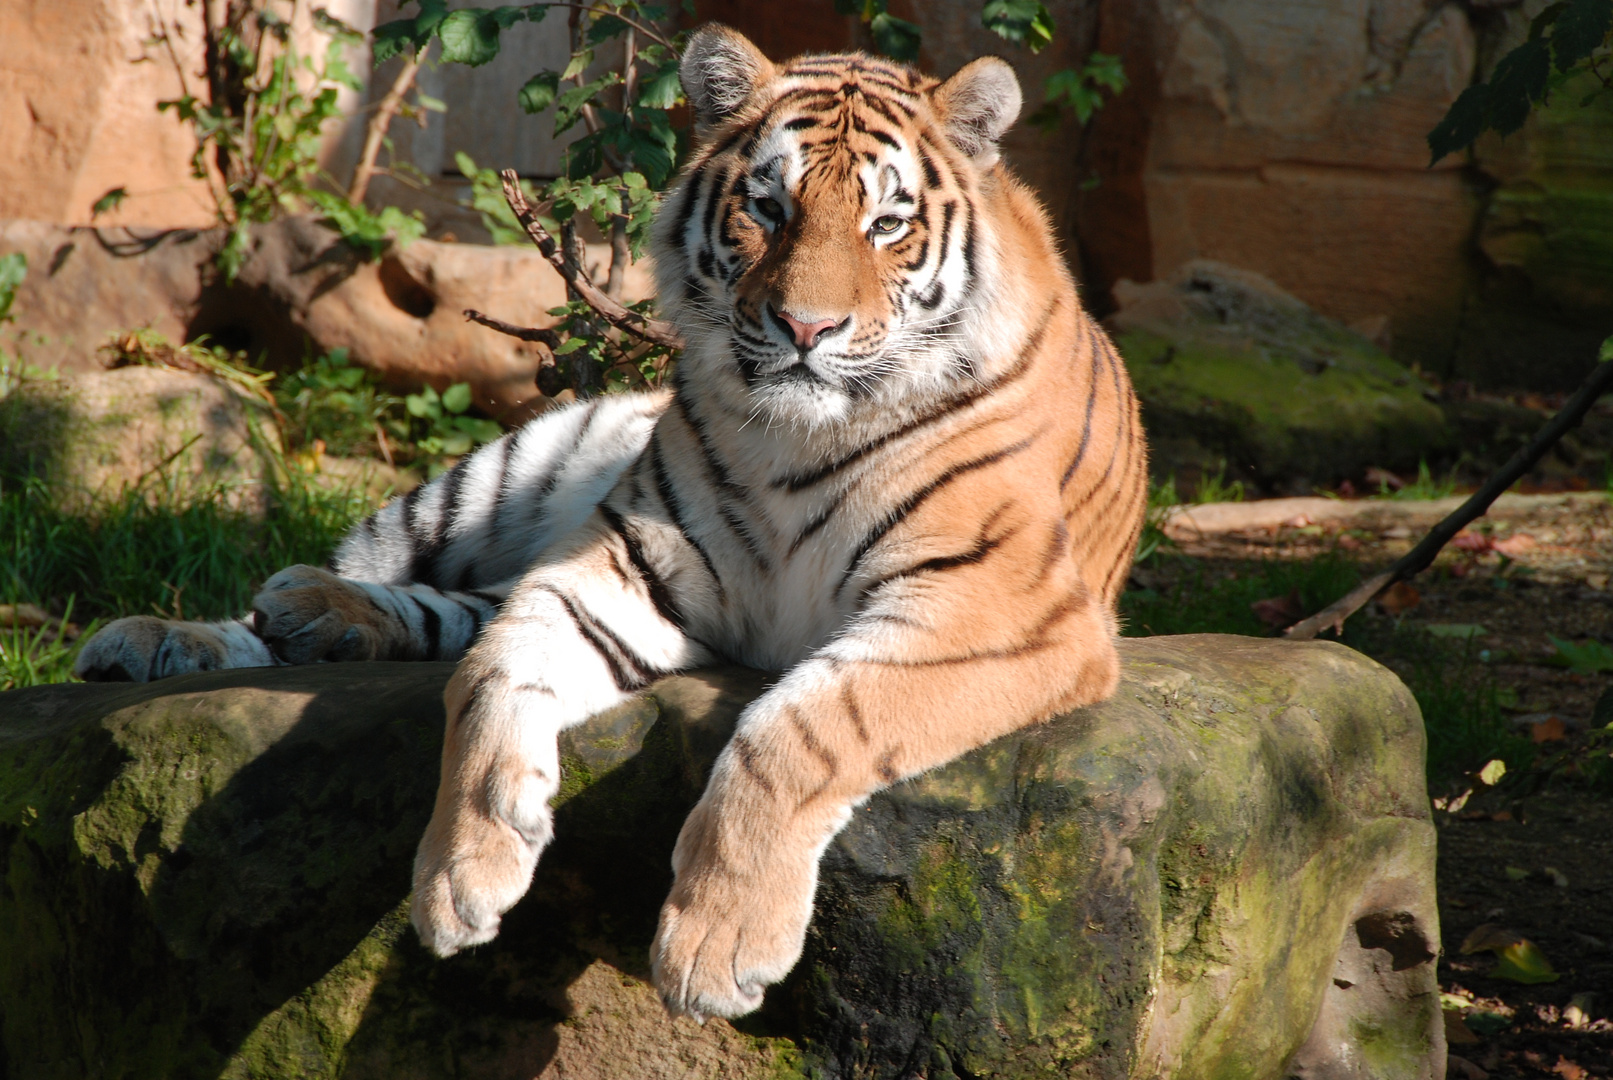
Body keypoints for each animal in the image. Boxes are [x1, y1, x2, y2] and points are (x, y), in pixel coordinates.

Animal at [72, 25, 1148, 1025]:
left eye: (887, 223)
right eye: (769, 207)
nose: (805, 330)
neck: (795, 437)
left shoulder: (990, 605)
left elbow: (801, 724)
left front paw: (715, 948)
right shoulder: (627, 564)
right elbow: (490, 673)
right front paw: (460, 874)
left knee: (458, 608)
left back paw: (310, 620)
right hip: (505, 468)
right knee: (408, 592)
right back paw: (184, 633)